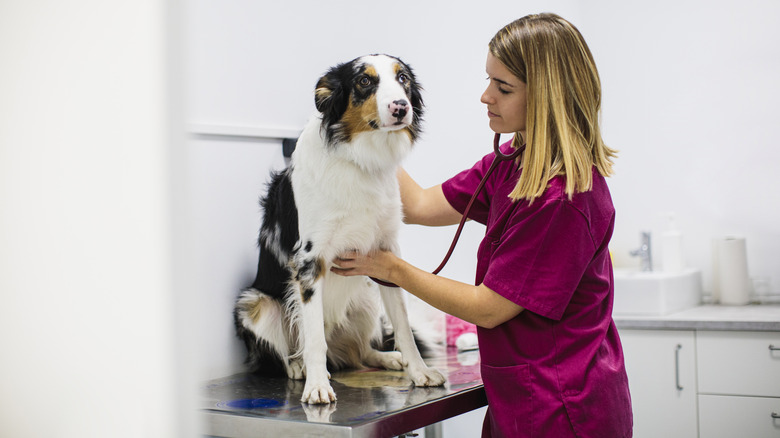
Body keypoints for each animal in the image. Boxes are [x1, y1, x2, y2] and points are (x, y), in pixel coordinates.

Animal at [233, 54, 444, 404]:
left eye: (402, 78)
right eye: (364, 81)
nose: (401, 107)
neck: (359, 159)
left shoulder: (387, 255)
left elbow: (403, 326)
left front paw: (420, 372)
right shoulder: (309, 261)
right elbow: (314, 338)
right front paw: (317, 385)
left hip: (367, 296)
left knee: (359, 353)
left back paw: (387, 357)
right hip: (253, 305)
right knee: (294, 350)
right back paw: (299, 367)